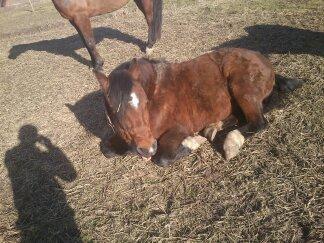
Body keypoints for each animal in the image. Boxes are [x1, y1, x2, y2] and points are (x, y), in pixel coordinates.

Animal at [93, 47, 302, 166]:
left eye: (144, 102)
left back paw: (230, 142)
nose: (147, 149)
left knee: (258, 122)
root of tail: (264, 60)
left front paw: (191, 143)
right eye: (113, 110)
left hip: (242, 88)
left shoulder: (178, 129)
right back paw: (213, 128)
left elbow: (162, 158)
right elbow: (107, 149)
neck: (156, 92)